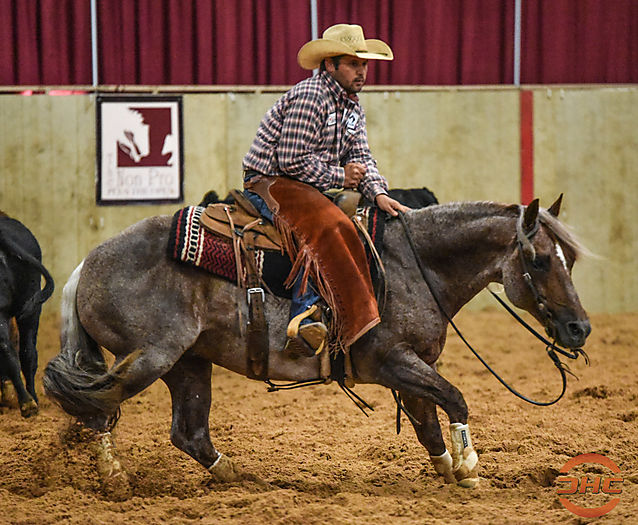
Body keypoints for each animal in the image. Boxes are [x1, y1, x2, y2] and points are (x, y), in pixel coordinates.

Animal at [43, 195, 592, 492]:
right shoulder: (391, 363)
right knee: (98, 406)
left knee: (187, 432)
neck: (412, 267)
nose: (579, 329)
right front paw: (470, 467)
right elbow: (455, 399)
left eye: (569, 258)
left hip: (189, 363)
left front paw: (449, 471)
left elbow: (428, 426)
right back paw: (113, 477)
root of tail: (86, 263)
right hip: (150, 357)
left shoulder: (413, 368)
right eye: (541, 259)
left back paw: (236, 478)